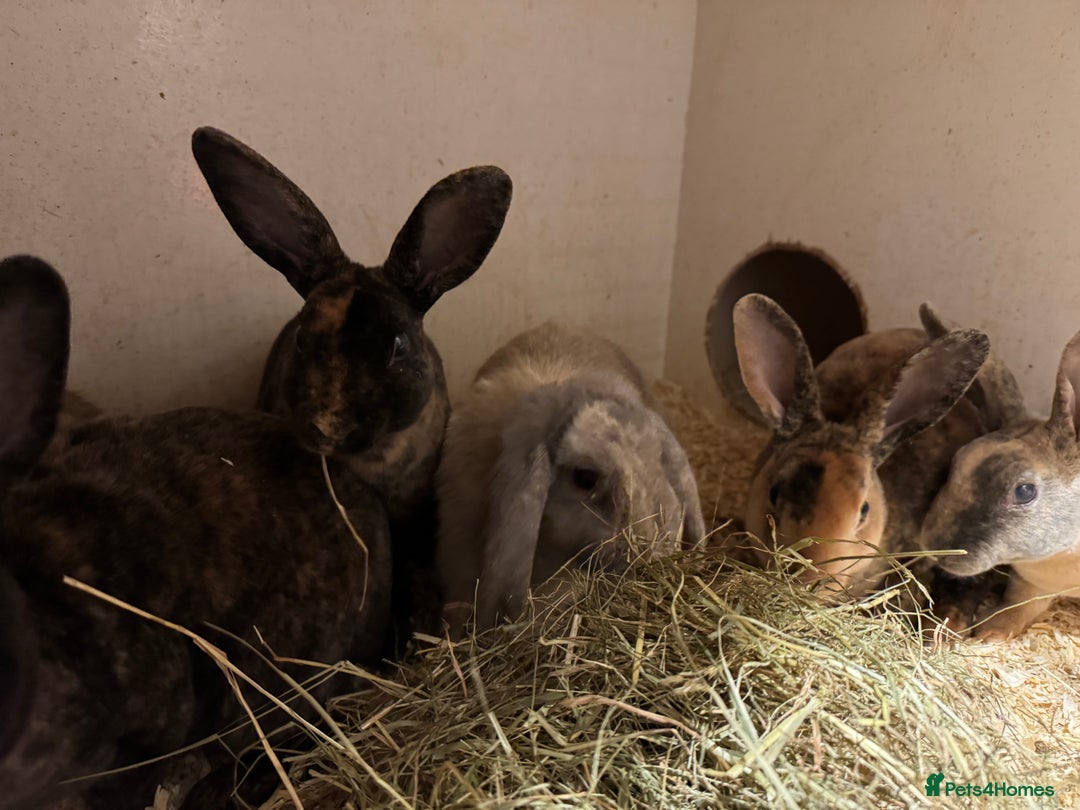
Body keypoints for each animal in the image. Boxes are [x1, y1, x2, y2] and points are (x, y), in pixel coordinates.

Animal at [920, 328, 1080, 640]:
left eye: (1024, 491)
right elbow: (1011, 613)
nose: (932, 547)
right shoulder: (1031, 587)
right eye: (958, 458)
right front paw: (986, 636)